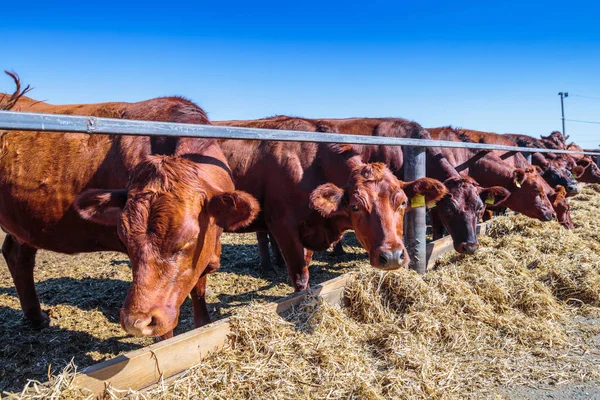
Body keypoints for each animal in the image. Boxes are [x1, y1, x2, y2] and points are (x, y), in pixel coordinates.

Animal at [2, 76, 260, 338]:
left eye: (187, 240)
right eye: (124, 239)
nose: (136, 322)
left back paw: (37, 318)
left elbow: (198, 294)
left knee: (17, 255)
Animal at [214, 117, 446, 290]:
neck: (310, 166)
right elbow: (300, 278)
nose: (392, 256)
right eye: (355, 207)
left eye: (403, 202)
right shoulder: (282, 226)